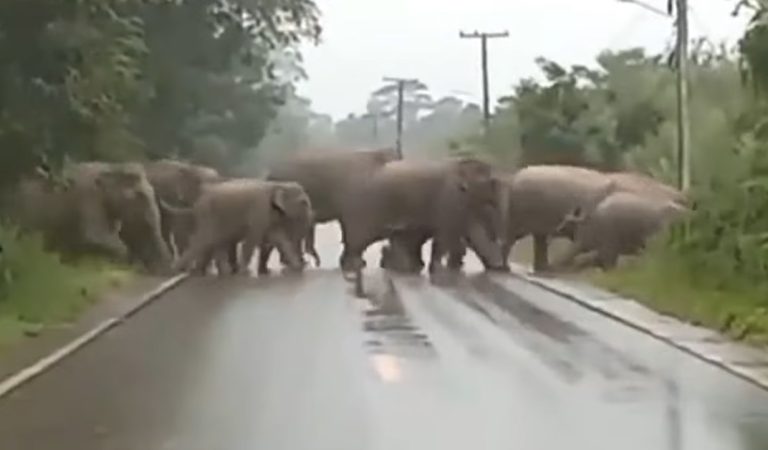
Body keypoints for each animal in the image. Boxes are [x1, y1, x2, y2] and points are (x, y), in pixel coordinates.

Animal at [174, 178, 312, 276]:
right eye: (303, 202)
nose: (306, 263)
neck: (278, 184)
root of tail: (198, 199)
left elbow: (278, 238)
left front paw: (298, 268)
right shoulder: (259, 211)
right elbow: (252, 240)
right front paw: (243, 272)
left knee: (216, 242)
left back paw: (221, 273)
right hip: (208, 216)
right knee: (203, 241)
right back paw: (179, 270)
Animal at [340, 155, 498, 296]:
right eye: (492, 183)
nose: (499, 267)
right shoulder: (449, 200)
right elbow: (446, 235)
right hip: (367, 209)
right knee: (358, 241)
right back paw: (353, 268)